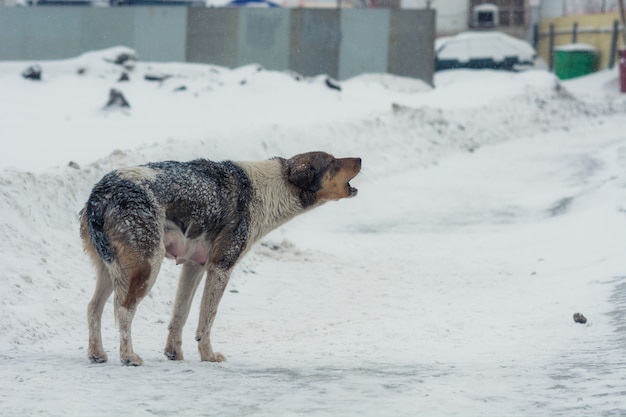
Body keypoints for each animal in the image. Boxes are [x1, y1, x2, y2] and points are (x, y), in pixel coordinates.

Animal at [80, 152, 358, 364]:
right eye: (332, 162)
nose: (360, 159)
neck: (272, 187)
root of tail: (99, 195)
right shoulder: (221, 267)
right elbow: (207, 319)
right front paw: (208, 356)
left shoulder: (193, 267)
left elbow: (180, 314)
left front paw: (174, 353)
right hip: (148, 268)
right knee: (123, 311)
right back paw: (128, 357)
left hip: (111, 271)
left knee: (93, 308)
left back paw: (97, 354)